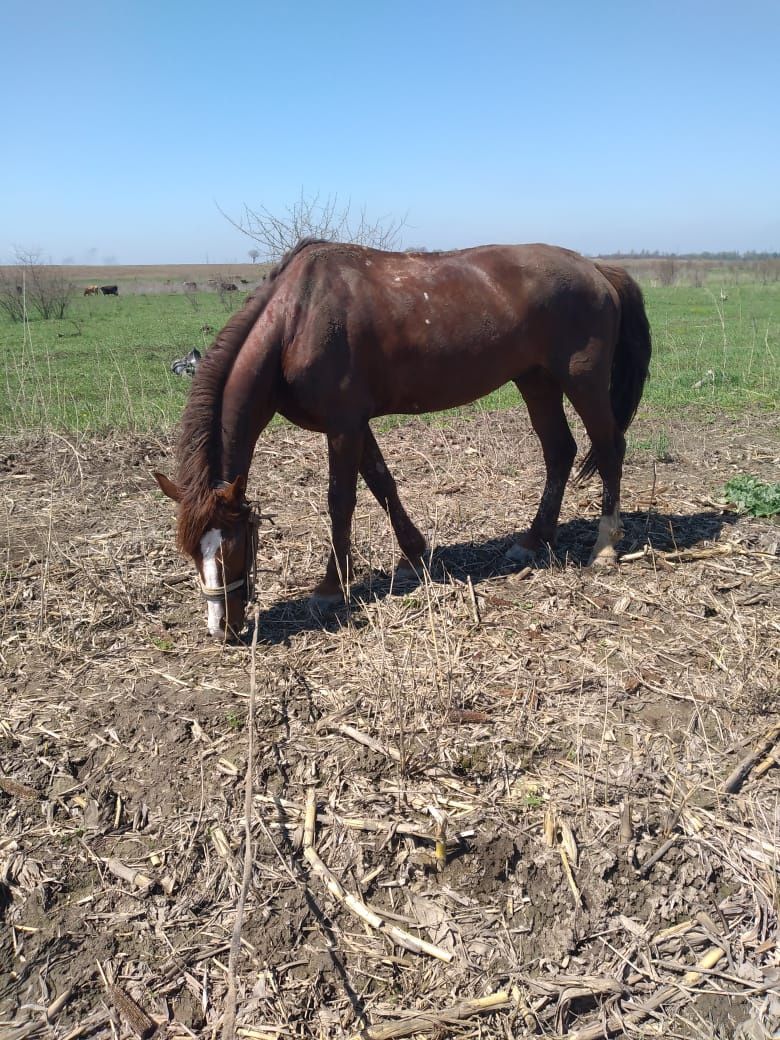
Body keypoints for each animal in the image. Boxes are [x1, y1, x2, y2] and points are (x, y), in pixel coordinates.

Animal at [153, 239, 653, 636]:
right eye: (190, 551)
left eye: (234, 545)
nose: (222, 629)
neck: (297, 319)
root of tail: (595, 268)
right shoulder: (355, 425)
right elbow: (382, 484)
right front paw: (414, 555)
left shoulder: (343, 426)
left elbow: (342, 502)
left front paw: (330, 587)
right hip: (537, 381)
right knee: (559, 452)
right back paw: (534, 540)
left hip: (582, 381)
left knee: (610, 448)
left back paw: (605, 545)